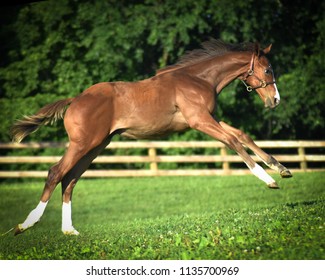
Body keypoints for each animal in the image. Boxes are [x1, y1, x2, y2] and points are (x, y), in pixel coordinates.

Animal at [12, 38, 292, 236]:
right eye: (268, 70)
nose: (275, 100)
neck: (198, 79)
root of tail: (75, 99)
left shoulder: (209, 118)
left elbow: (242, 135)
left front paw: (282, 168)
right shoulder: (199, 120)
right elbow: (233, 141)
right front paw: (268, 179)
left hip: (95, 146)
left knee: (70, 180)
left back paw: (69, 230)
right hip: (83, 144)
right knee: (55, 173)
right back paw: (26, 224)